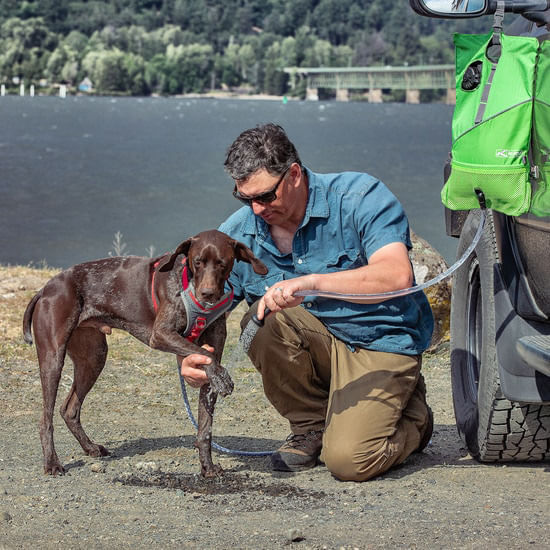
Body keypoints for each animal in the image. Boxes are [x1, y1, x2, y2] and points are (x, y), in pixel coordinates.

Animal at [22, 230, 268, 478]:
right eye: (197, 262)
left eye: (222, 263)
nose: (207, 294)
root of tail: (45, 289)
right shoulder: (161, 335)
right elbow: (202, 354)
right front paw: (224, 378)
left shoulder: (211, 358)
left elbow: (205, 428)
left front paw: (207, 467)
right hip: (53, 358)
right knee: (45, 420)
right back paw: (52, 463)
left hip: (93, 357)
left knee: (69, 409)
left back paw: (90, 447)